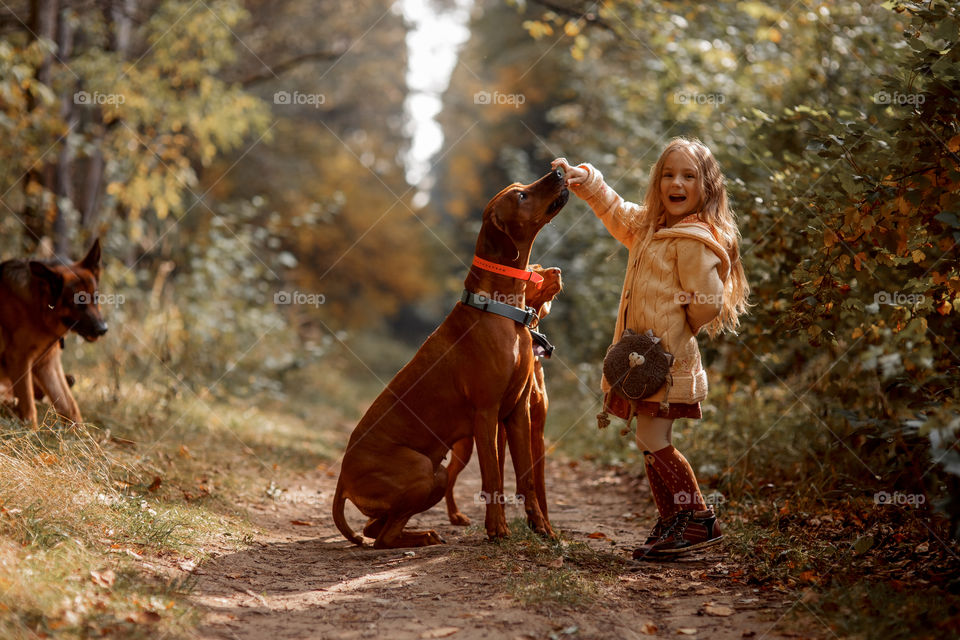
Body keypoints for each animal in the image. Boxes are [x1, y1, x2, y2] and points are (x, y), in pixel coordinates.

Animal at [0, 238, 109, 428]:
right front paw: (31, 434)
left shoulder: (48, 363)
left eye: (96, 298)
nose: (102, 329)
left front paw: (81, 434)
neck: (39, 306)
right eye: (78, 303)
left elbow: (69, 406)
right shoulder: (19, 359)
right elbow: (29, 408)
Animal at [444, 264, 564, 524]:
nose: (558, 270)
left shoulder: (536, 430)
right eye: (532, 270)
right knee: (446, 474)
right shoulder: (499, 428)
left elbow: (538, 484)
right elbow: (497, 475)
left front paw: (545, 524)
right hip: (464, 446)